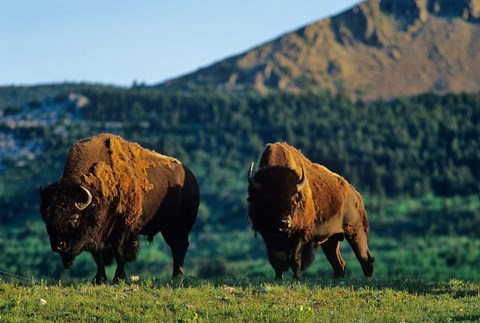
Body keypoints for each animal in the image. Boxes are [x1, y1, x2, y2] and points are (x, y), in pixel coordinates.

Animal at [39, 134, 199, 284]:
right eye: (47, 219)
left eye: (74, 218)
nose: (59, 245)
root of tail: (191, 178)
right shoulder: (98, 235)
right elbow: (99, 256)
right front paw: (99, 279)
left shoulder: (123, 230)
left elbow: (120, 254)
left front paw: (118, 277)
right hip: (168, 228)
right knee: (177, 247)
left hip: (178, 227)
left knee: (179, 247)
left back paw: (177, 275)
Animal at [248, 143, 376, 280]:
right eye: (269, 200)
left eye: (294, 201)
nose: (285, 222)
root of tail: (356, 195)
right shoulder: (268, 234)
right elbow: (276, 258)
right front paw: (279, 278)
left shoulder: (300, 233)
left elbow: (295, 258)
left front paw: (296, 278)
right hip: (331, 239)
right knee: (339, 264)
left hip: (355, 232)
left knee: (364, 258)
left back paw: (368, 279)